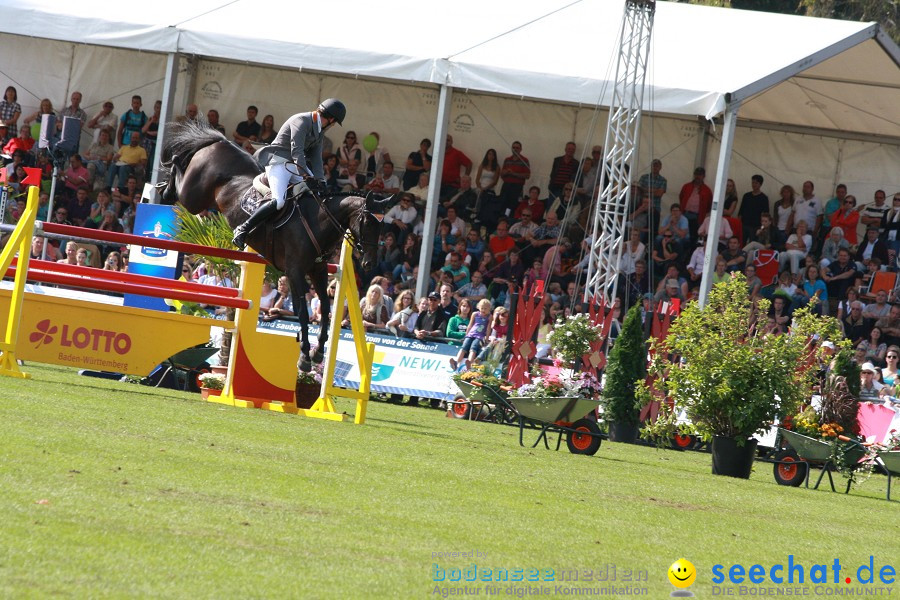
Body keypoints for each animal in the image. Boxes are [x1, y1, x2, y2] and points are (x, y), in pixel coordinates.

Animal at [162, 120, 386, 370]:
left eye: (382, 226)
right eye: (367, 222)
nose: (369, 263)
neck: (318, 220)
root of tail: (221, 142)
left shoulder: (317, 271)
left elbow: (326, 311)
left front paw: (318, 352)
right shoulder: (294, 271)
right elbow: (302, 312)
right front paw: (304, 357)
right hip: (194, 197)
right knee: (179, 174)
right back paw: (166, 186)